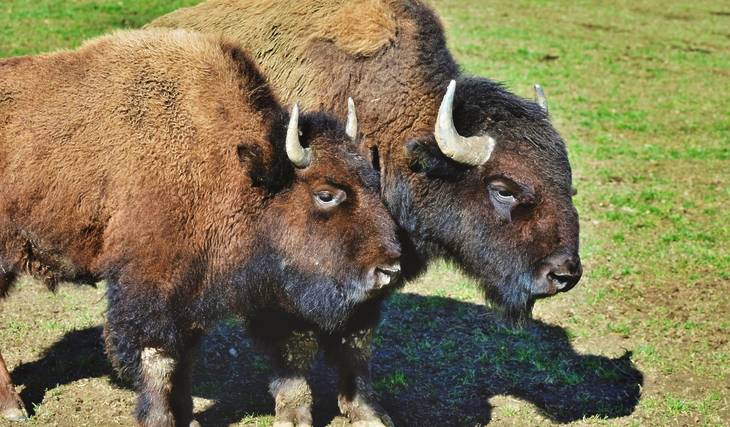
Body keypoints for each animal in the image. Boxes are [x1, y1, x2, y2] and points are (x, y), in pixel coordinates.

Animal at [0, 28, 402, 426]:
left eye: (372, 181)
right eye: (325, 194)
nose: (389, 268)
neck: (229, 165)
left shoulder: (191, 292)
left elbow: (185, 359)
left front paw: (187, 417)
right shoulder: (150, 286)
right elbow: (158, 359)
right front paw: (160, 419)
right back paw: (13, 408)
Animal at [150, 1, 584, 425]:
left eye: (568, 180)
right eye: (503, 189)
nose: (564, 274)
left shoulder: (374, 278)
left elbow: (356, 344)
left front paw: (368, 412)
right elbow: (295, 347)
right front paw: (295, 414)